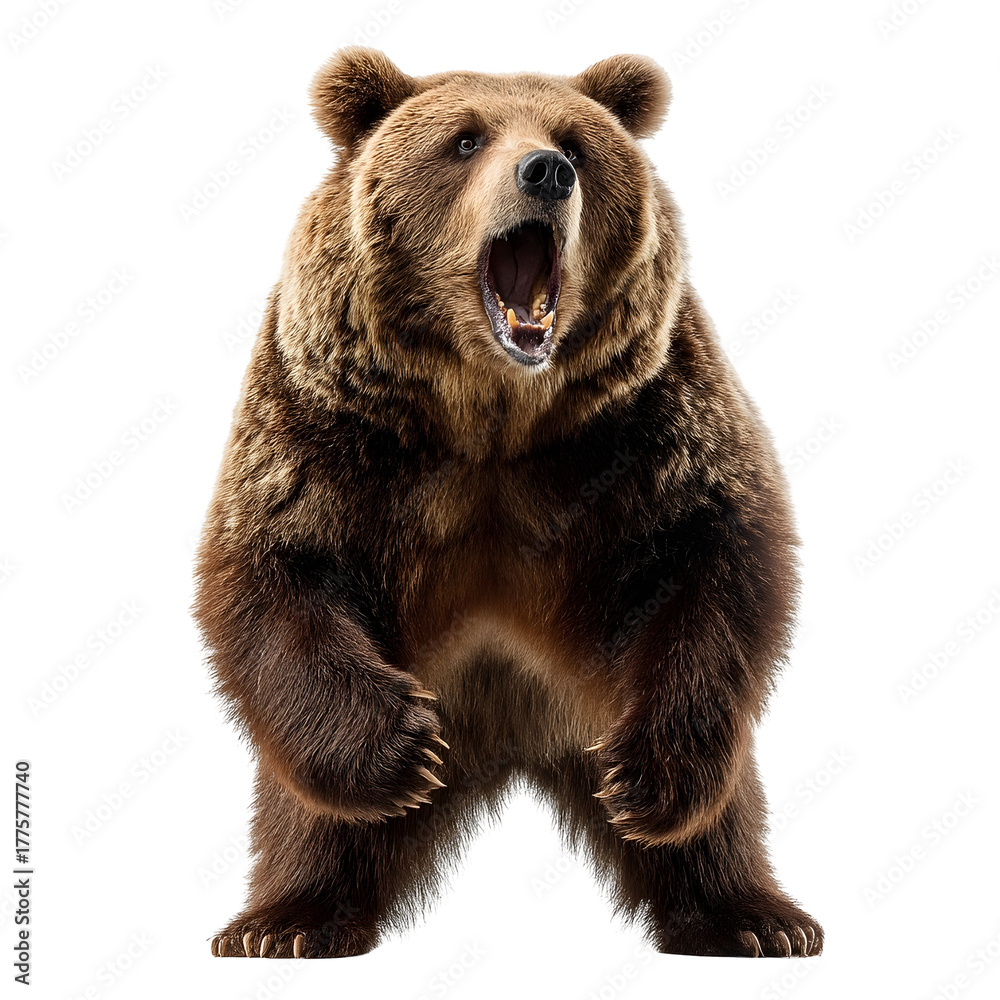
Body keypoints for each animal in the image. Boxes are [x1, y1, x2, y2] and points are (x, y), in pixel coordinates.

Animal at [195, 47, 824, 960]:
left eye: (576, 144)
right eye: (465, 140)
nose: (546, 172)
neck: (493, 413)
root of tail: (517, 743)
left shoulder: (643, 422)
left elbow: (715, 555)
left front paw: (644, 779)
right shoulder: (327, 423)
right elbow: (276, 567)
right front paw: (402, 750)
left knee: (724, 808)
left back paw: (752, 917)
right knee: (313, 818)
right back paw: (287, 921)